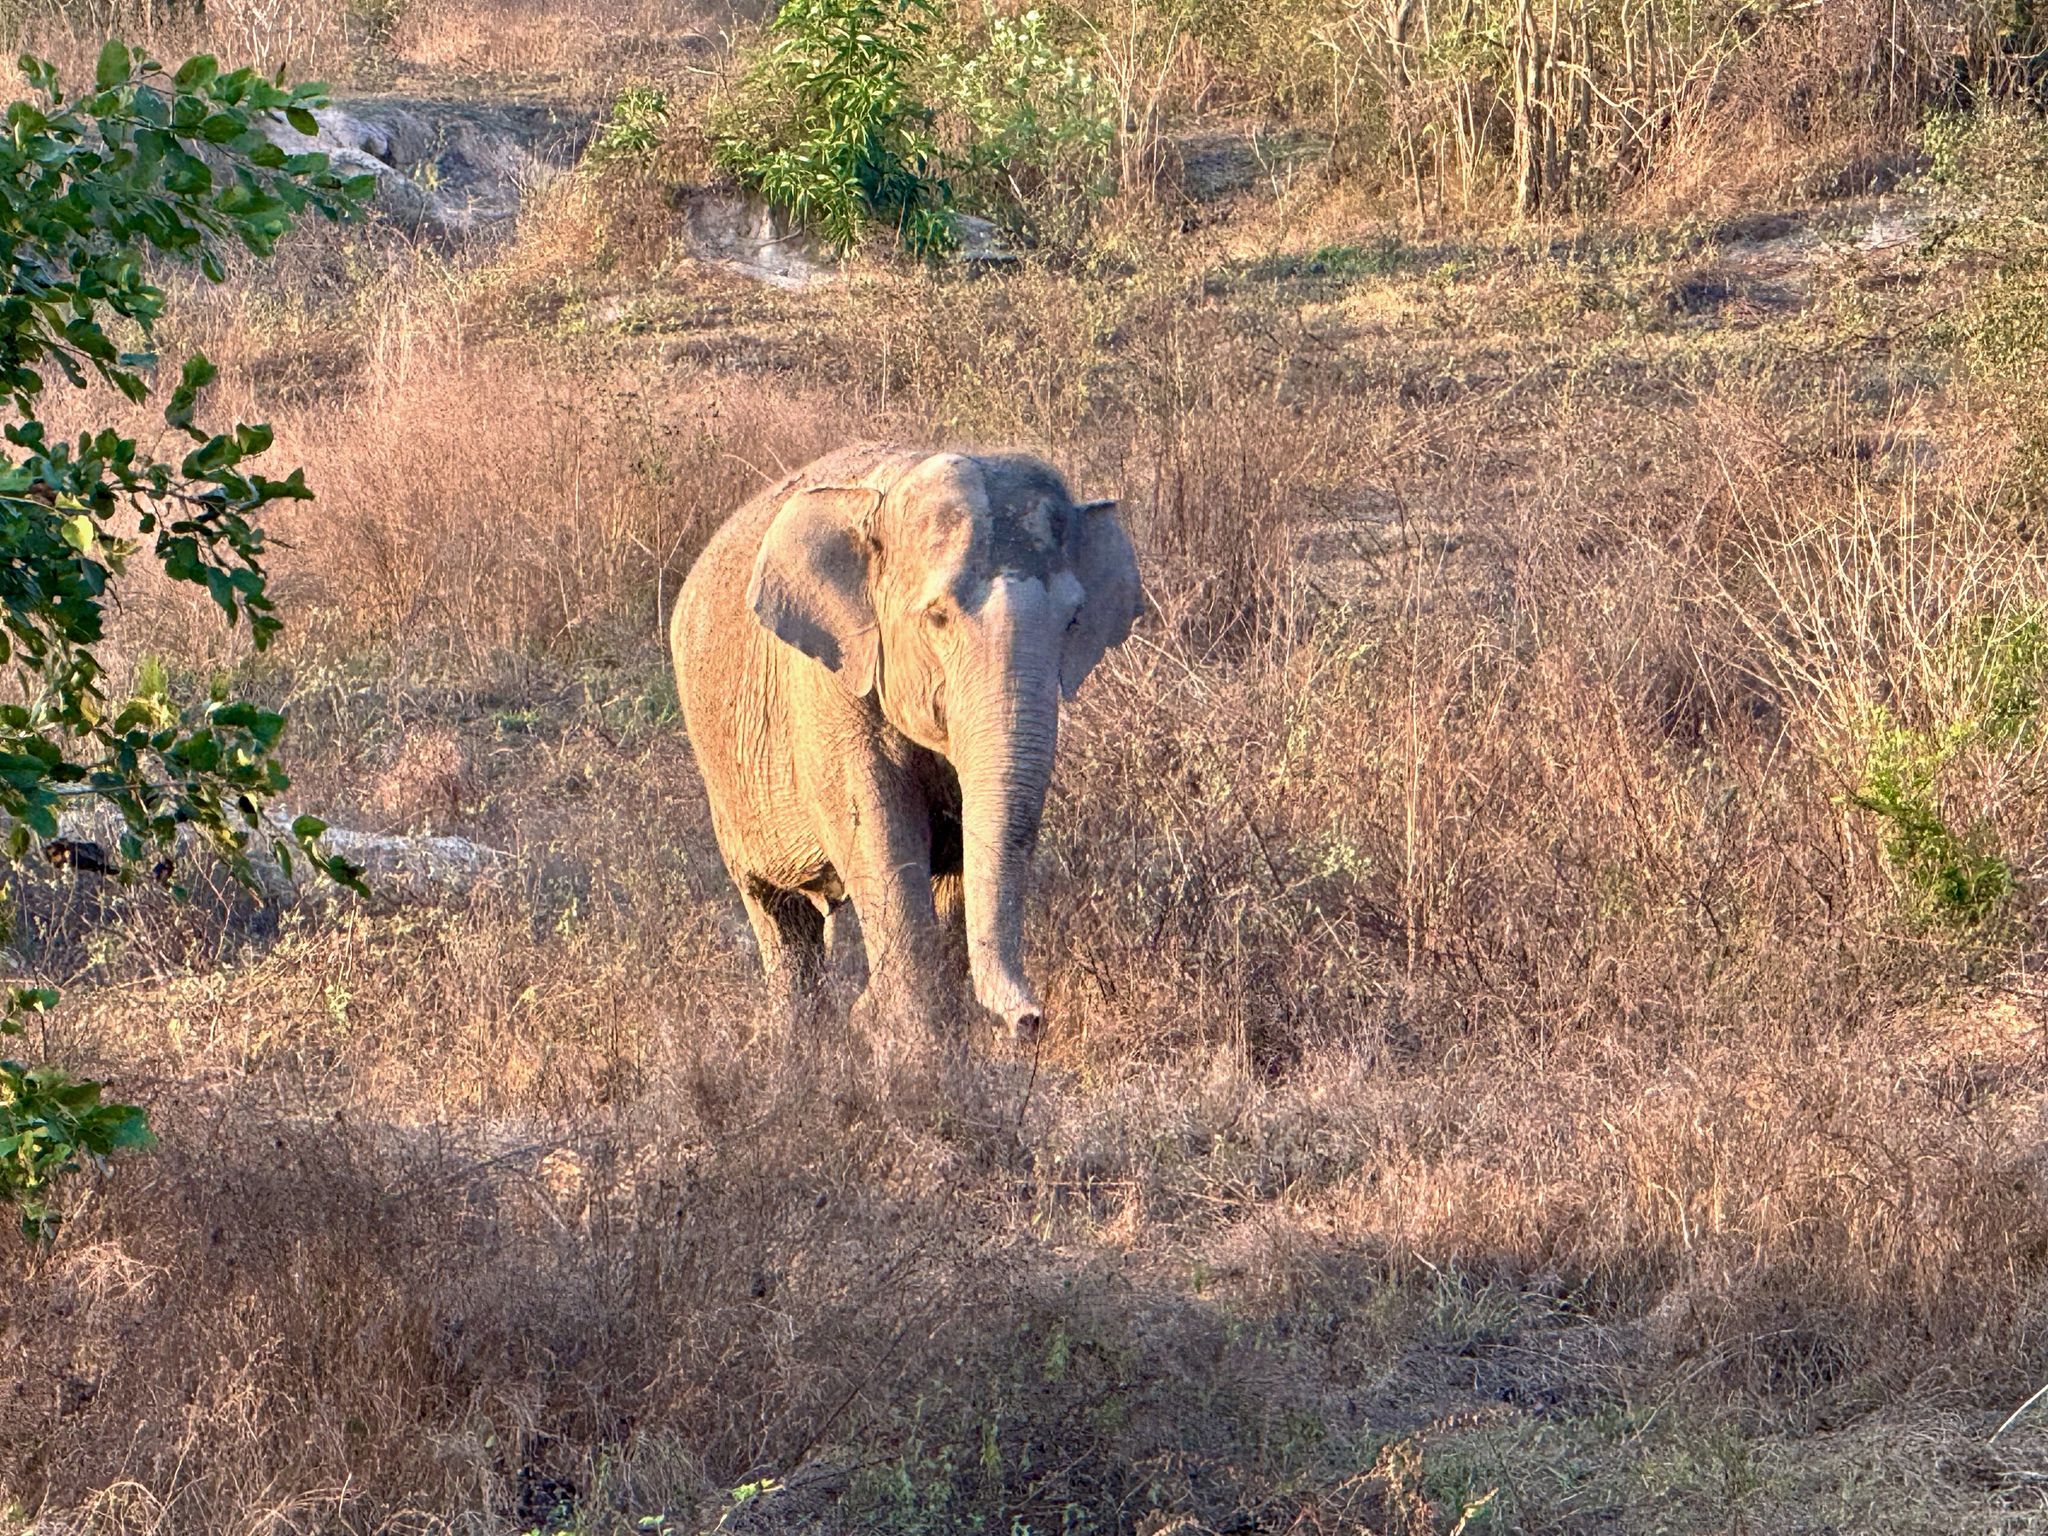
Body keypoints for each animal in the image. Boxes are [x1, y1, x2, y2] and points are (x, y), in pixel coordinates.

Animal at [671, 444, 1142, 1040]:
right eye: (936, 618)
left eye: (1072, 620)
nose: (1030, 1020)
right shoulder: (827, 688)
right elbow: (879, 830)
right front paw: (904, 1040)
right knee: (777, 914)